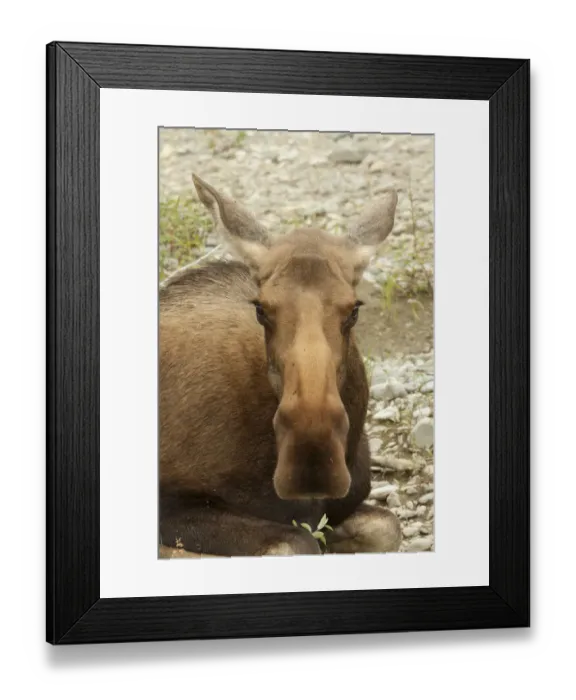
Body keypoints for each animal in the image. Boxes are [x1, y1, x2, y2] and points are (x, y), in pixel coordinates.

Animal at [159, 174, 402, 557]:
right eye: (261, 309)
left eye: (354, 309)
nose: (312, 458)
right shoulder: (173, 503)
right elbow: (296, 543)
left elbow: (387, 527)